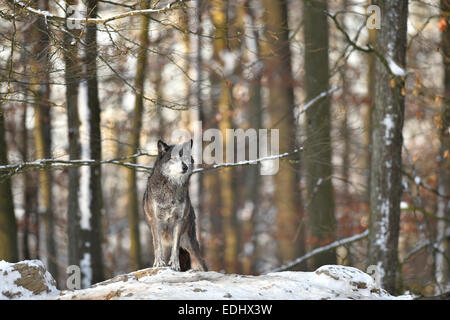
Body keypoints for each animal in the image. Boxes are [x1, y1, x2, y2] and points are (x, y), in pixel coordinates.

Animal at [143, 139, 208, 272]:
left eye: (185, 157)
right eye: (173, 158)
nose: (185, 167)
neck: (172, 188)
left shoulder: (179, 221)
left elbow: (175, 247)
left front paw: (175, 264)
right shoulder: (156, 221)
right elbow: (157, 245)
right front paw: (159, 263)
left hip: (190, 244)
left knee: (202, 263)